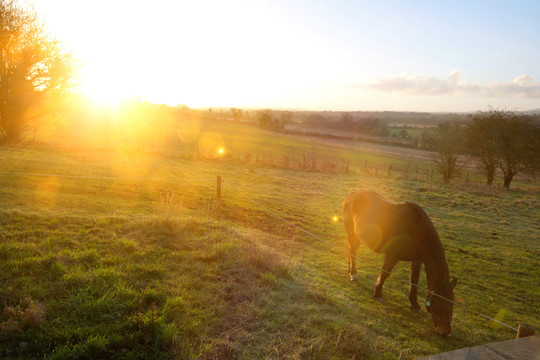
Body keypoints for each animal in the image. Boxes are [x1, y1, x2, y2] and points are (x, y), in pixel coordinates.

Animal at [342, 191, 456, 338]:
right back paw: (353, 275)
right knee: (352, 252)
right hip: (352, 234)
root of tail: (352, 195)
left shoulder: (417, 260)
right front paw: (377, 293)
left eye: (452, 303)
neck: (416, 229)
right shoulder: (393, 256)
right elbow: (385, 273)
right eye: (441, 303)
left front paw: (415, 305)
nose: (446, 332)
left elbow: (414, 282)